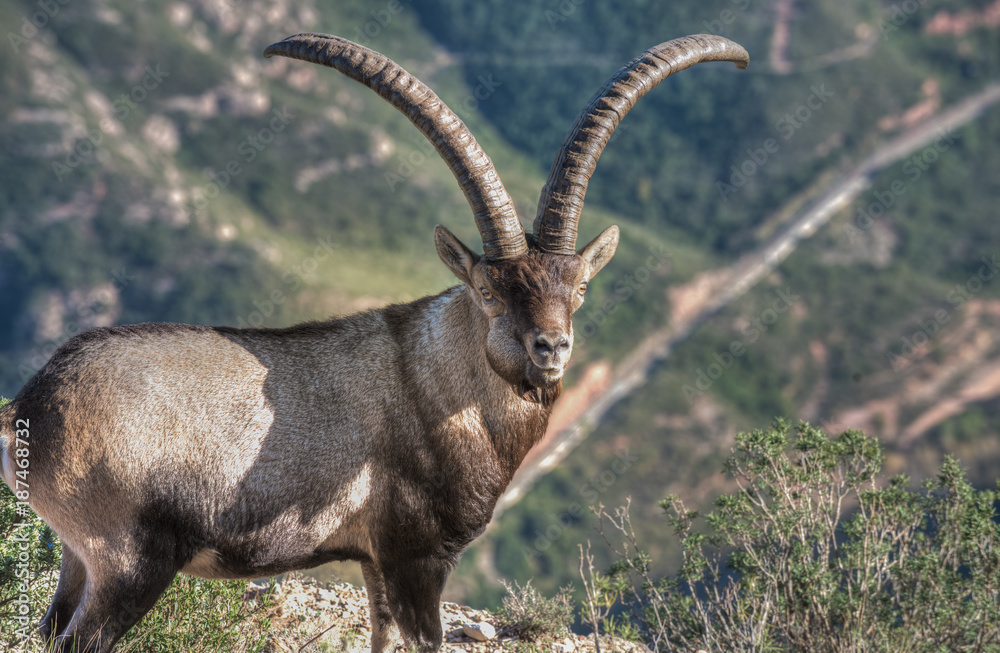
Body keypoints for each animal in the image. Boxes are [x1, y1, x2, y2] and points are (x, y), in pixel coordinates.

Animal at [1, 31, 752, 652]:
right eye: (489, 291)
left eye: (580, 287)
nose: (550, 348)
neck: (440, 383)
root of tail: (33, 406)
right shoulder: (415, 556)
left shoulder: (372, 564)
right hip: (128, 562)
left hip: (77, 558)